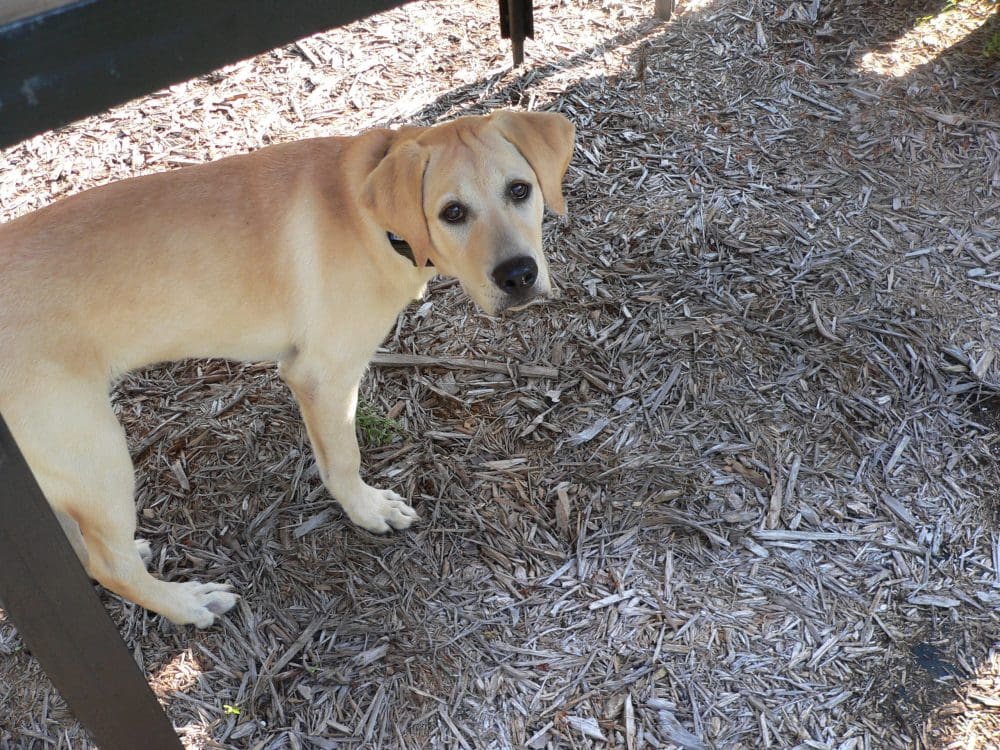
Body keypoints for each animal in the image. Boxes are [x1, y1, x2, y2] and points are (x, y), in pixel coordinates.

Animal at [0, 111, 575, 627]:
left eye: (520, 190)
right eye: (452, 212)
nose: (519, 276)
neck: (375, 225)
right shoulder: (321, 376)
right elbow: (342, 460)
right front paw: (368, 510)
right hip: (93, 453)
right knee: (108, 563)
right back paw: (186, 604)